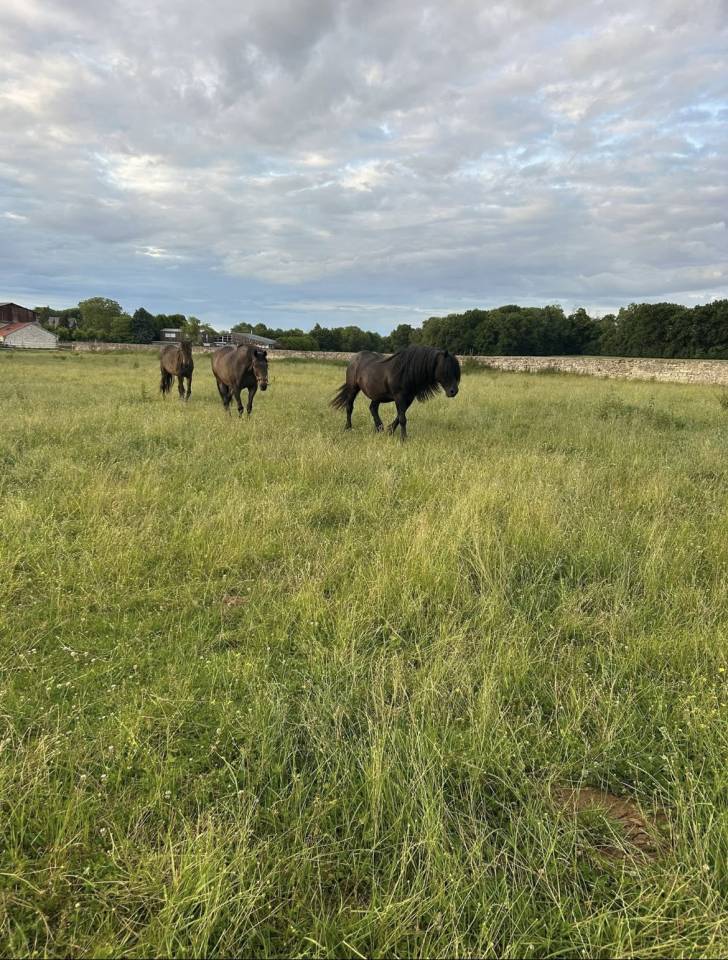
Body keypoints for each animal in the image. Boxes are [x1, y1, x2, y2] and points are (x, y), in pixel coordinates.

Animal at [331, 345, 461, 439]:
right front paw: (404, 438)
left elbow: (399, 416)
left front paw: (390, 431)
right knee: (349, 407)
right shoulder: (399, 397)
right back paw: (348, 428)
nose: (453, 391)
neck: (407, 372)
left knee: (373, 408)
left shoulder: (408, 398)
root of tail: (354, 357)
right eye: (446, 369)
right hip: (353, 388)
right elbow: (402, 418)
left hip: (377, 395)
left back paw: (379, 429)